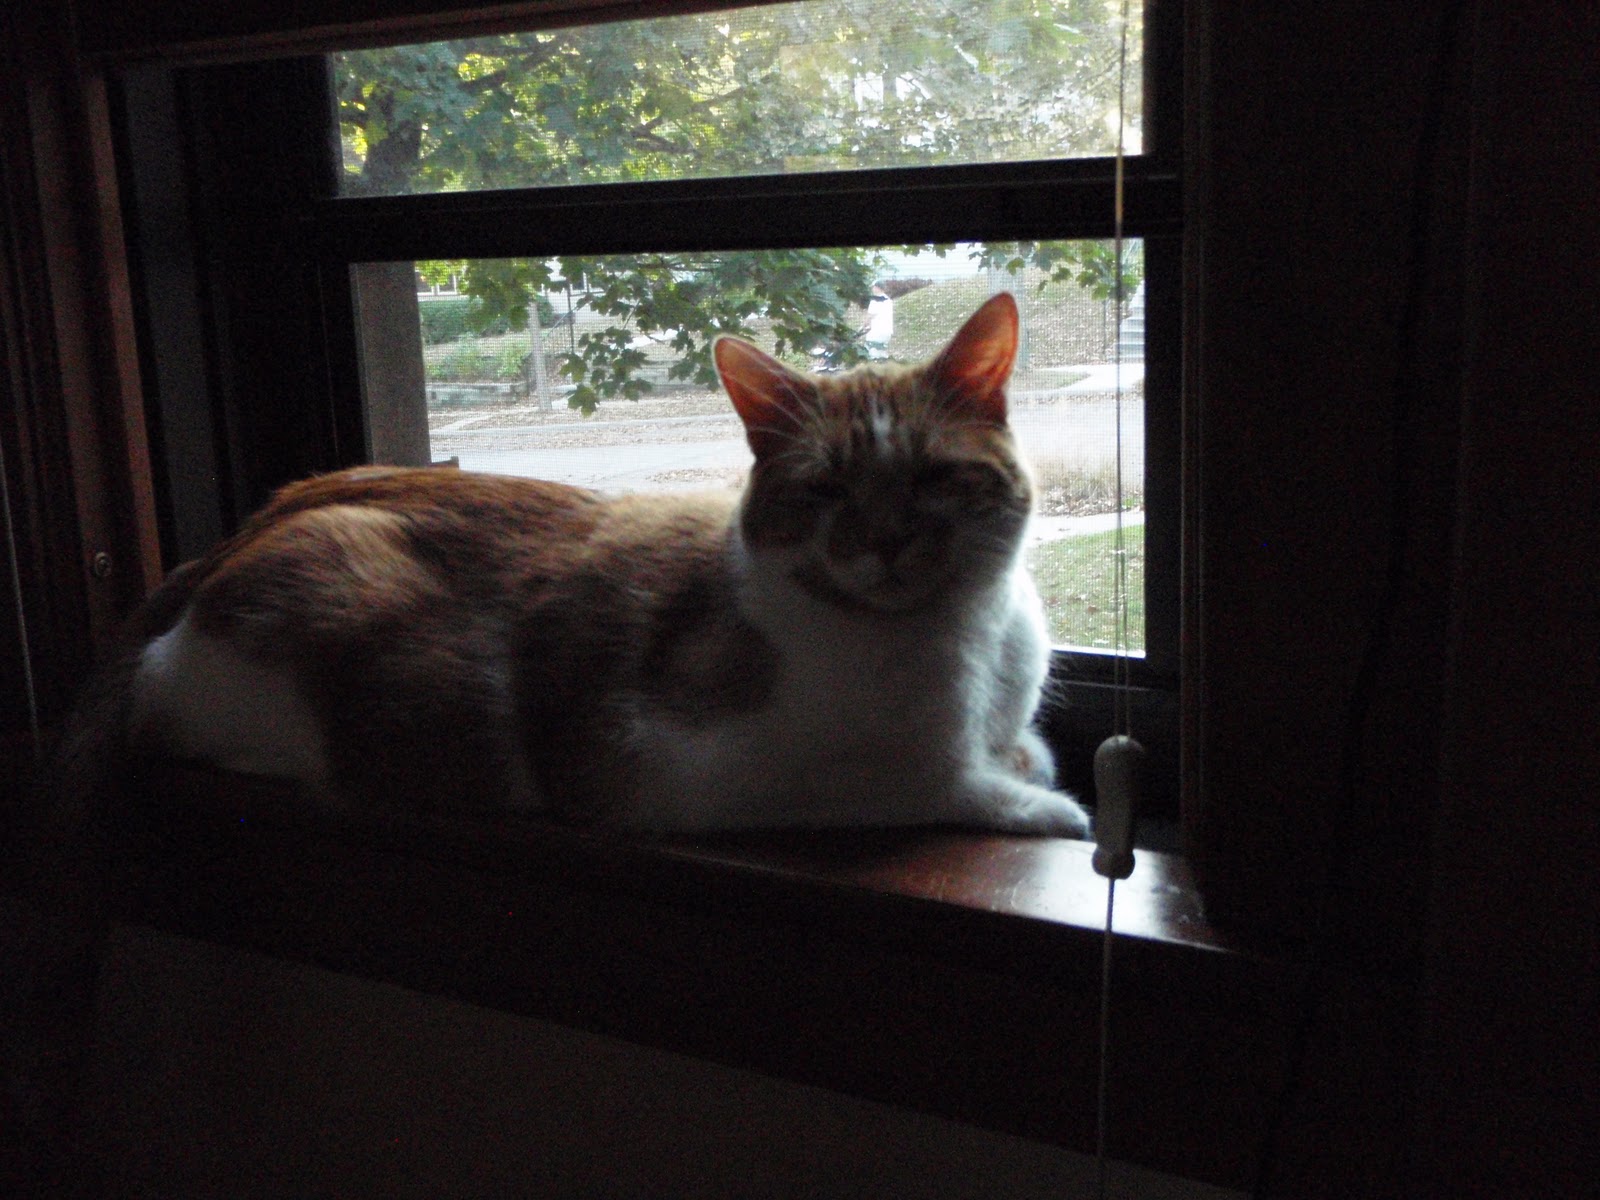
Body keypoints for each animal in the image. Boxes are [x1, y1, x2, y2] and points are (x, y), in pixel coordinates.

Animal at [82, 292, 1089, 838]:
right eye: (829, 490)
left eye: (931, 478)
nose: (883, 543)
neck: (965, 641)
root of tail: (238, 534)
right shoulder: (677, 769)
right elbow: (922, 782)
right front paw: (1042, 806)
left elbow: (1022, 749)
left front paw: (1026, 764)